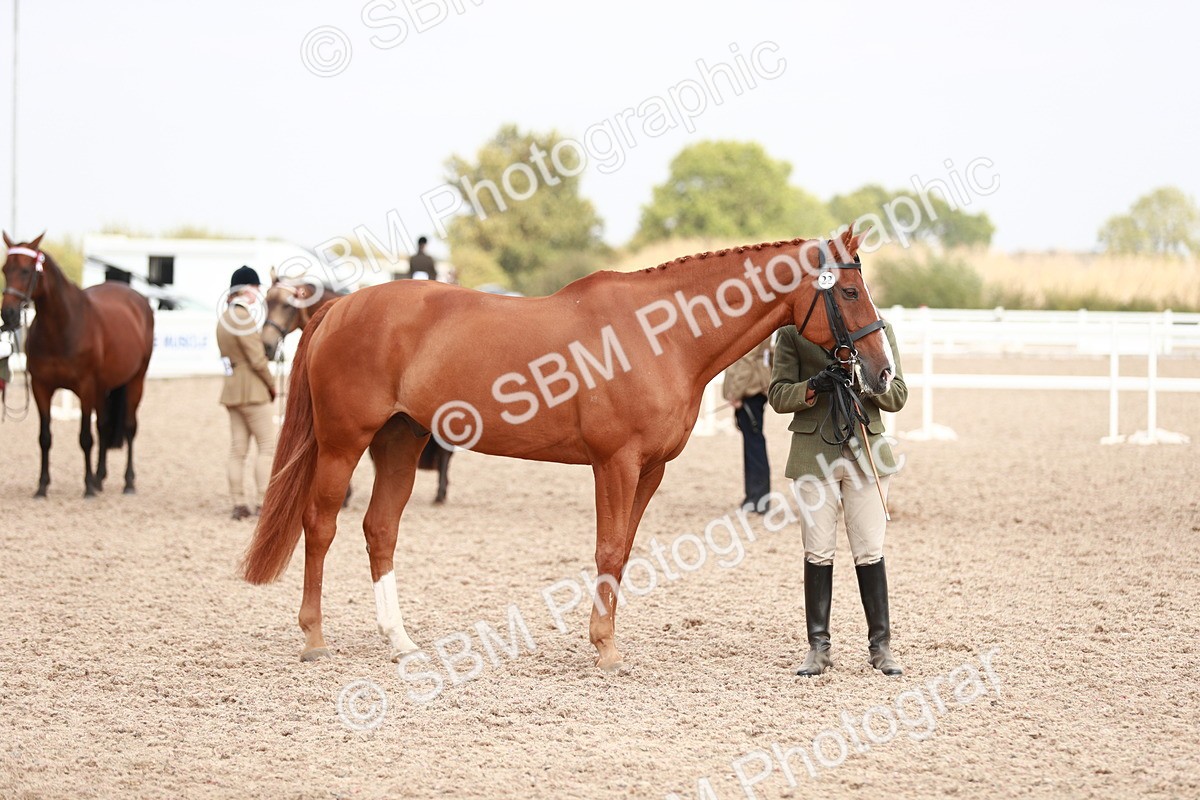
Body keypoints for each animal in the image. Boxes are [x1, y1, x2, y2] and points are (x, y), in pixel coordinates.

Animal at [1, 233, 155, 498]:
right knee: (103, 426)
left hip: (135, 380)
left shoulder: (85, 388)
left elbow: (85, 437)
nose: (8, 314)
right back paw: (100, 477)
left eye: (25, 270)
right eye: (5, 269)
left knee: (129, 427)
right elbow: (45, 437)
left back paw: (127, 482)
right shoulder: (41, 387)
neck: (63, 327)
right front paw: (42, 486)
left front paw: (88, 488)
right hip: (103, 388)